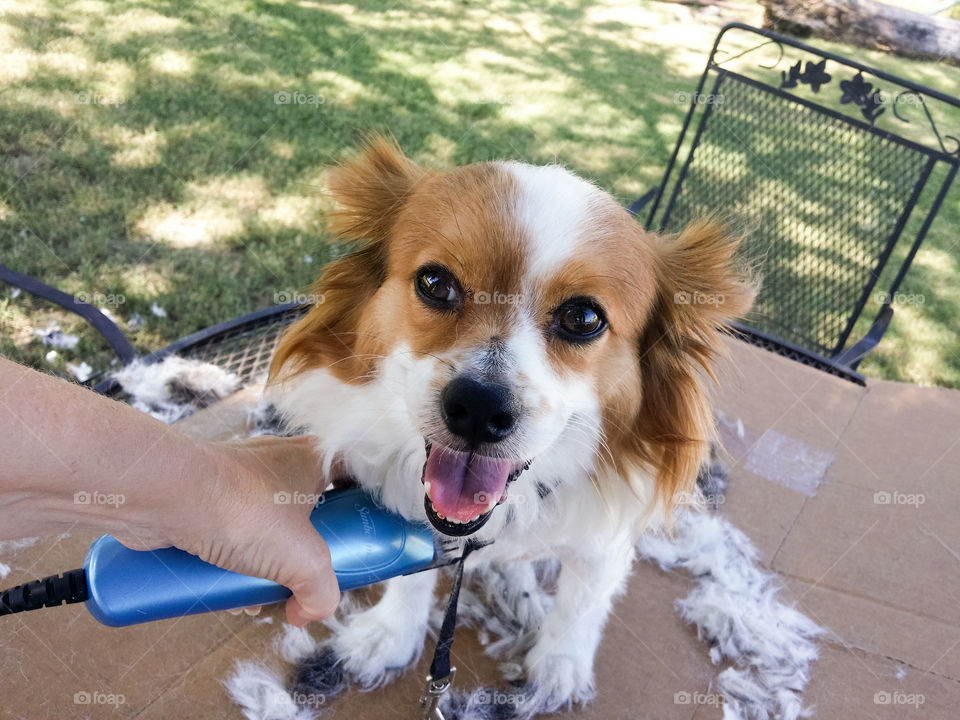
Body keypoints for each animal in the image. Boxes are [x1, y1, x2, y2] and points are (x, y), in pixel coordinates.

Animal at [266, 136, 752, 716]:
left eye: (583, 318)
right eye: (435, 283)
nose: (478, 407)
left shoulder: (604, 537)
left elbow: (582, 602)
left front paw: (559, 664)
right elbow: (412, 574)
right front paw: (391, 632)